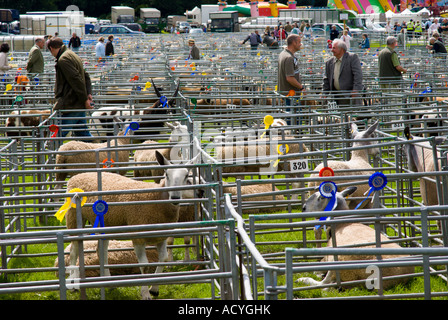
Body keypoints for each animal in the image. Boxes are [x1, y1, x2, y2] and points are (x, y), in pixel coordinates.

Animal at [64, 151, 196, 298]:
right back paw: (73, 284)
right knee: (73, 250)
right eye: (166, 174)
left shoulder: (161, 237)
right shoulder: (138, 237)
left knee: (100, 250)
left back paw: (108, 282)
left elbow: (164, 259)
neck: (155, 198)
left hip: (105, 224)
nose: (175, 197)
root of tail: (78, 175)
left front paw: (154, 289)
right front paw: (145, 293)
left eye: (186, 176)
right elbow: (144, 266)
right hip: (74, 217)